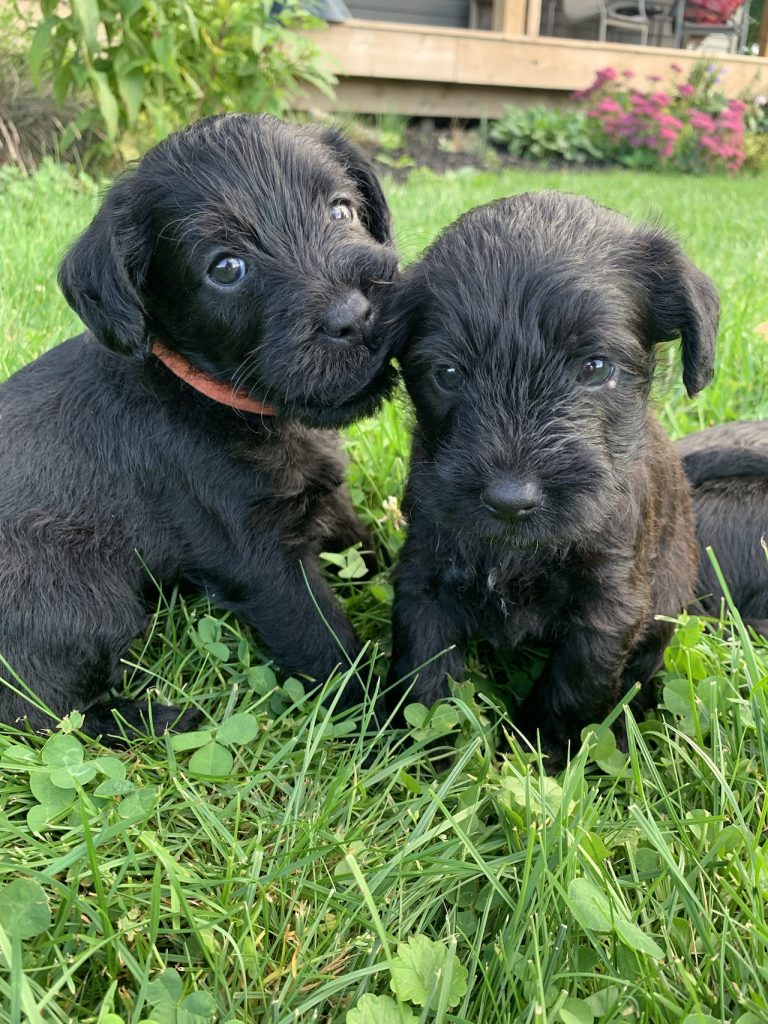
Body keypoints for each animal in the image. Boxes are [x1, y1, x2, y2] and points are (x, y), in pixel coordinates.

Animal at [0, 113, 399, 740]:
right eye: (226, 268)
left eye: (341, 211)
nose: (357, 317)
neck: (210, 395)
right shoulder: (261, 559)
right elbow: (327, 643)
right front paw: (385, 724)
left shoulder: (323, 498)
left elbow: (364, 542)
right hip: (80, 594)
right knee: (52, 714)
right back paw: (173, 717)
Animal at [385, 191, 719, 769]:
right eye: (447, 374)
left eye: (596, 367)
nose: (509, 500)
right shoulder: (424, 576)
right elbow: (425, 675)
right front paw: (424, 758)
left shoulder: (609, 607)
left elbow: (573, 686)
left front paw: (541, 752)